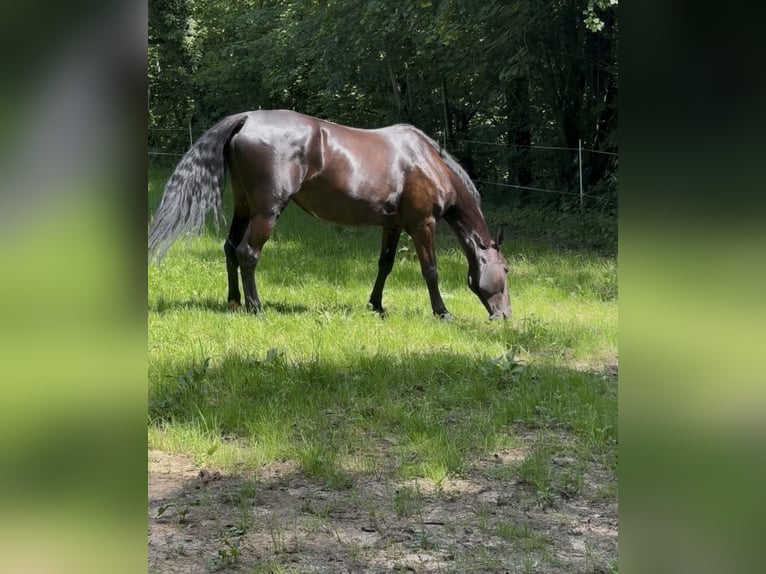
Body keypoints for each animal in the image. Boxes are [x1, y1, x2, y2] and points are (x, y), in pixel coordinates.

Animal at [148, 110, 510, 320]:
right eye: (506, 269)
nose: (504, 315)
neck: (426, 161)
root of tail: (247, 119)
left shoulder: (392, 226)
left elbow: (385, 265)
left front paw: (376, 305)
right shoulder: (422, 224)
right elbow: (430, 270)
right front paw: (442, 312)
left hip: (244, 206)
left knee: (229, 248)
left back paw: (234, 302)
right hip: (266, 211)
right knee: (247, 253)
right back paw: (256, 308)